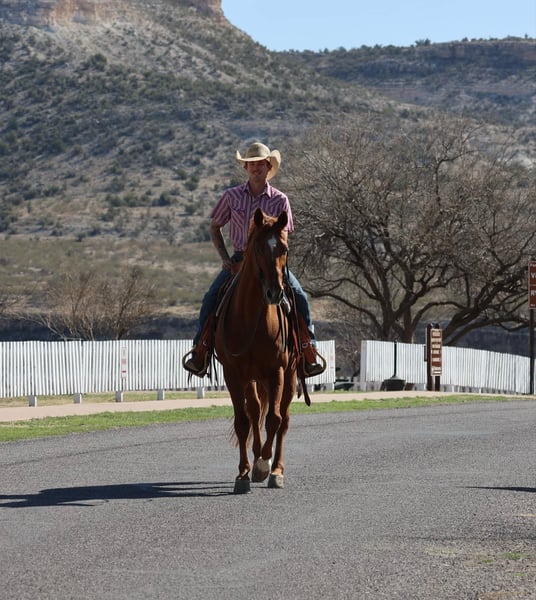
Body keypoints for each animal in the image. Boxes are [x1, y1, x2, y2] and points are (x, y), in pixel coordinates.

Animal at [214, 207, 298, 494]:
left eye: (284, 247)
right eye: (258, 247)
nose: (275, 293)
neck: (252, 318)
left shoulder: (277, 371)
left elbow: (274, 418)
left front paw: (264, 466)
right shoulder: (232, 373)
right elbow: (242, 421)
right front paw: (243, 473)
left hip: (290, 377)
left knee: (283, 418)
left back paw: (276, 467)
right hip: (251, 378)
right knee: (254, 411)